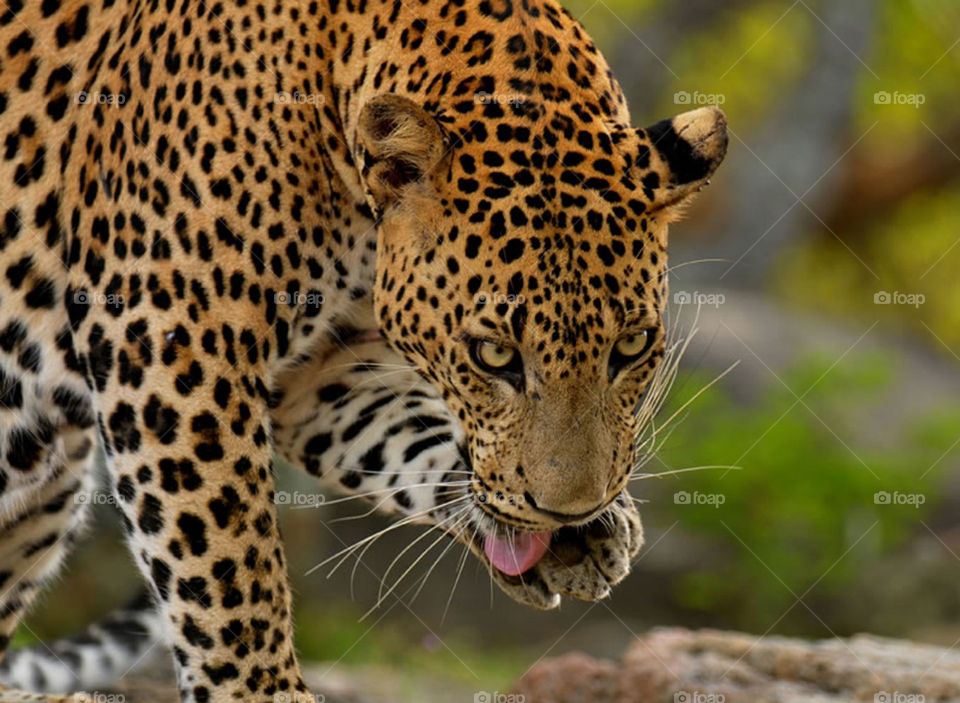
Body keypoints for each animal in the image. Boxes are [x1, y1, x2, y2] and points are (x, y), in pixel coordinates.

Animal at [0, 0, 727, 698]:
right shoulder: (165, 324)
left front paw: (580, 533)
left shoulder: (321, 367)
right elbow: (224, 550)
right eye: (493, 355)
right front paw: (261, 689)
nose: (569, 512)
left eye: (631, 344)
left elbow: (409, 438)